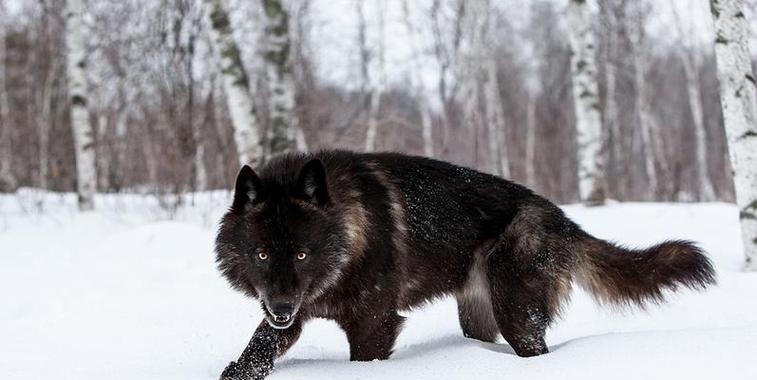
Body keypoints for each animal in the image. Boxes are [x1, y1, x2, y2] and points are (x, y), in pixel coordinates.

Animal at [214, 150, 716, 378]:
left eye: (302, 254)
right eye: (262, 254)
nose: (281, 308)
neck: (349, 235)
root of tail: (562, 218)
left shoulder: (375, 325)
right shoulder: (290, 317)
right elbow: (255, 351)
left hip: (517, 317)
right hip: (478, 317)